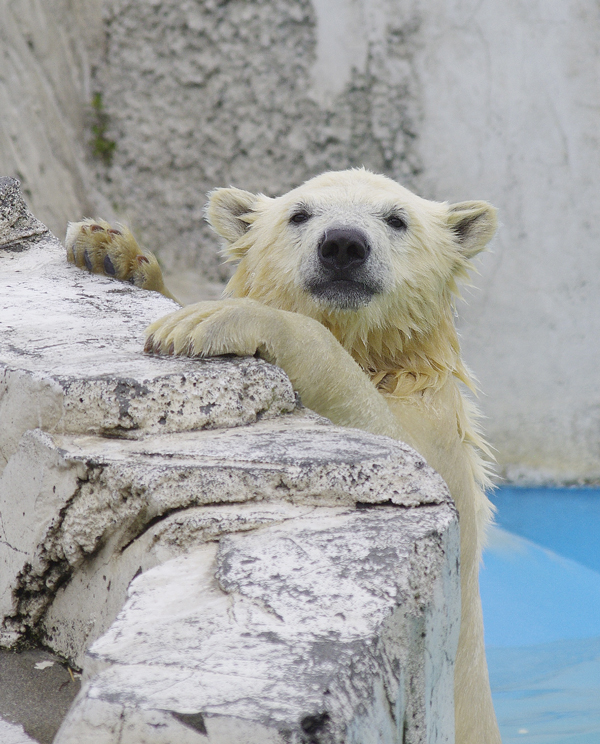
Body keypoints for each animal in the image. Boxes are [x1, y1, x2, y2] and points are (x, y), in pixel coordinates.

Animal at [67, 170, 502, 744]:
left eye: (396, 219)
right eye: (300, 214)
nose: (343, 245)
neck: (375, 350)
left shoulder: (436, 428)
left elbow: (395, 446)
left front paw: (216, 319)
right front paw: (108, 250)